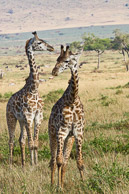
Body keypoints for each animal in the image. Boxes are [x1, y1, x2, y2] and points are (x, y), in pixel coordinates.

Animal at [6, 31, 54, 167]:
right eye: (39, 42)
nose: (51, 48)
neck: (34, 89)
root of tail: (8, 103)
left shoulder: (38, 116)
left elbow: (35, 143)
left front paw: (35, 163)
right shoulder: (28, 117)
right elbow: (30, 142)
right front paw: (32, 165)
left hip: (21, 121)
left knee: (21, 140)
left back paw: (23, 164)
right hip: (11, 118)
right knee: (11, 140)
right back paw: (11, 165)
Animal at [48, 44, 84, 187]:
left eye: (67, 60)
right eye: (57, 59)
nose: (54, 71)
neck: (72, 100)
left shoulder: (78, 133)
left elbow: (79, 162)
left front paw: (85, 183)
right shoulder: (61, 132)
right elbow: (58, 161)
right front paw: (59, 187)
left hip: (69, 138)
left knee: (65, 162)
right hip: (52, 135)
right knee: (53, 161)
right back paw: (53, 184)